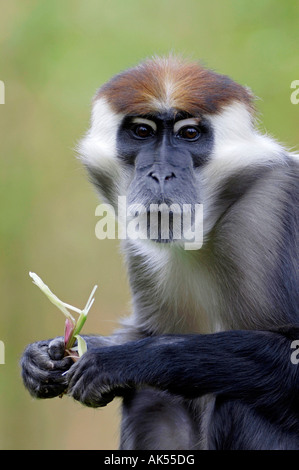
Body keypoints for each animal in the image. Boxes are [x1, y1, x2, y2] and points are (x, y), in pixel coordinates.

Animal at [19, 56, 298, 452]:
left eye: (189, 134)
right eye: (142, 131)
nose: (161, 173)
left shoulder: (275, 202)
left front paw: (129, 360)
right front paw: (44, 357)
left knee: (238, 400)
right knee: (150, 399)